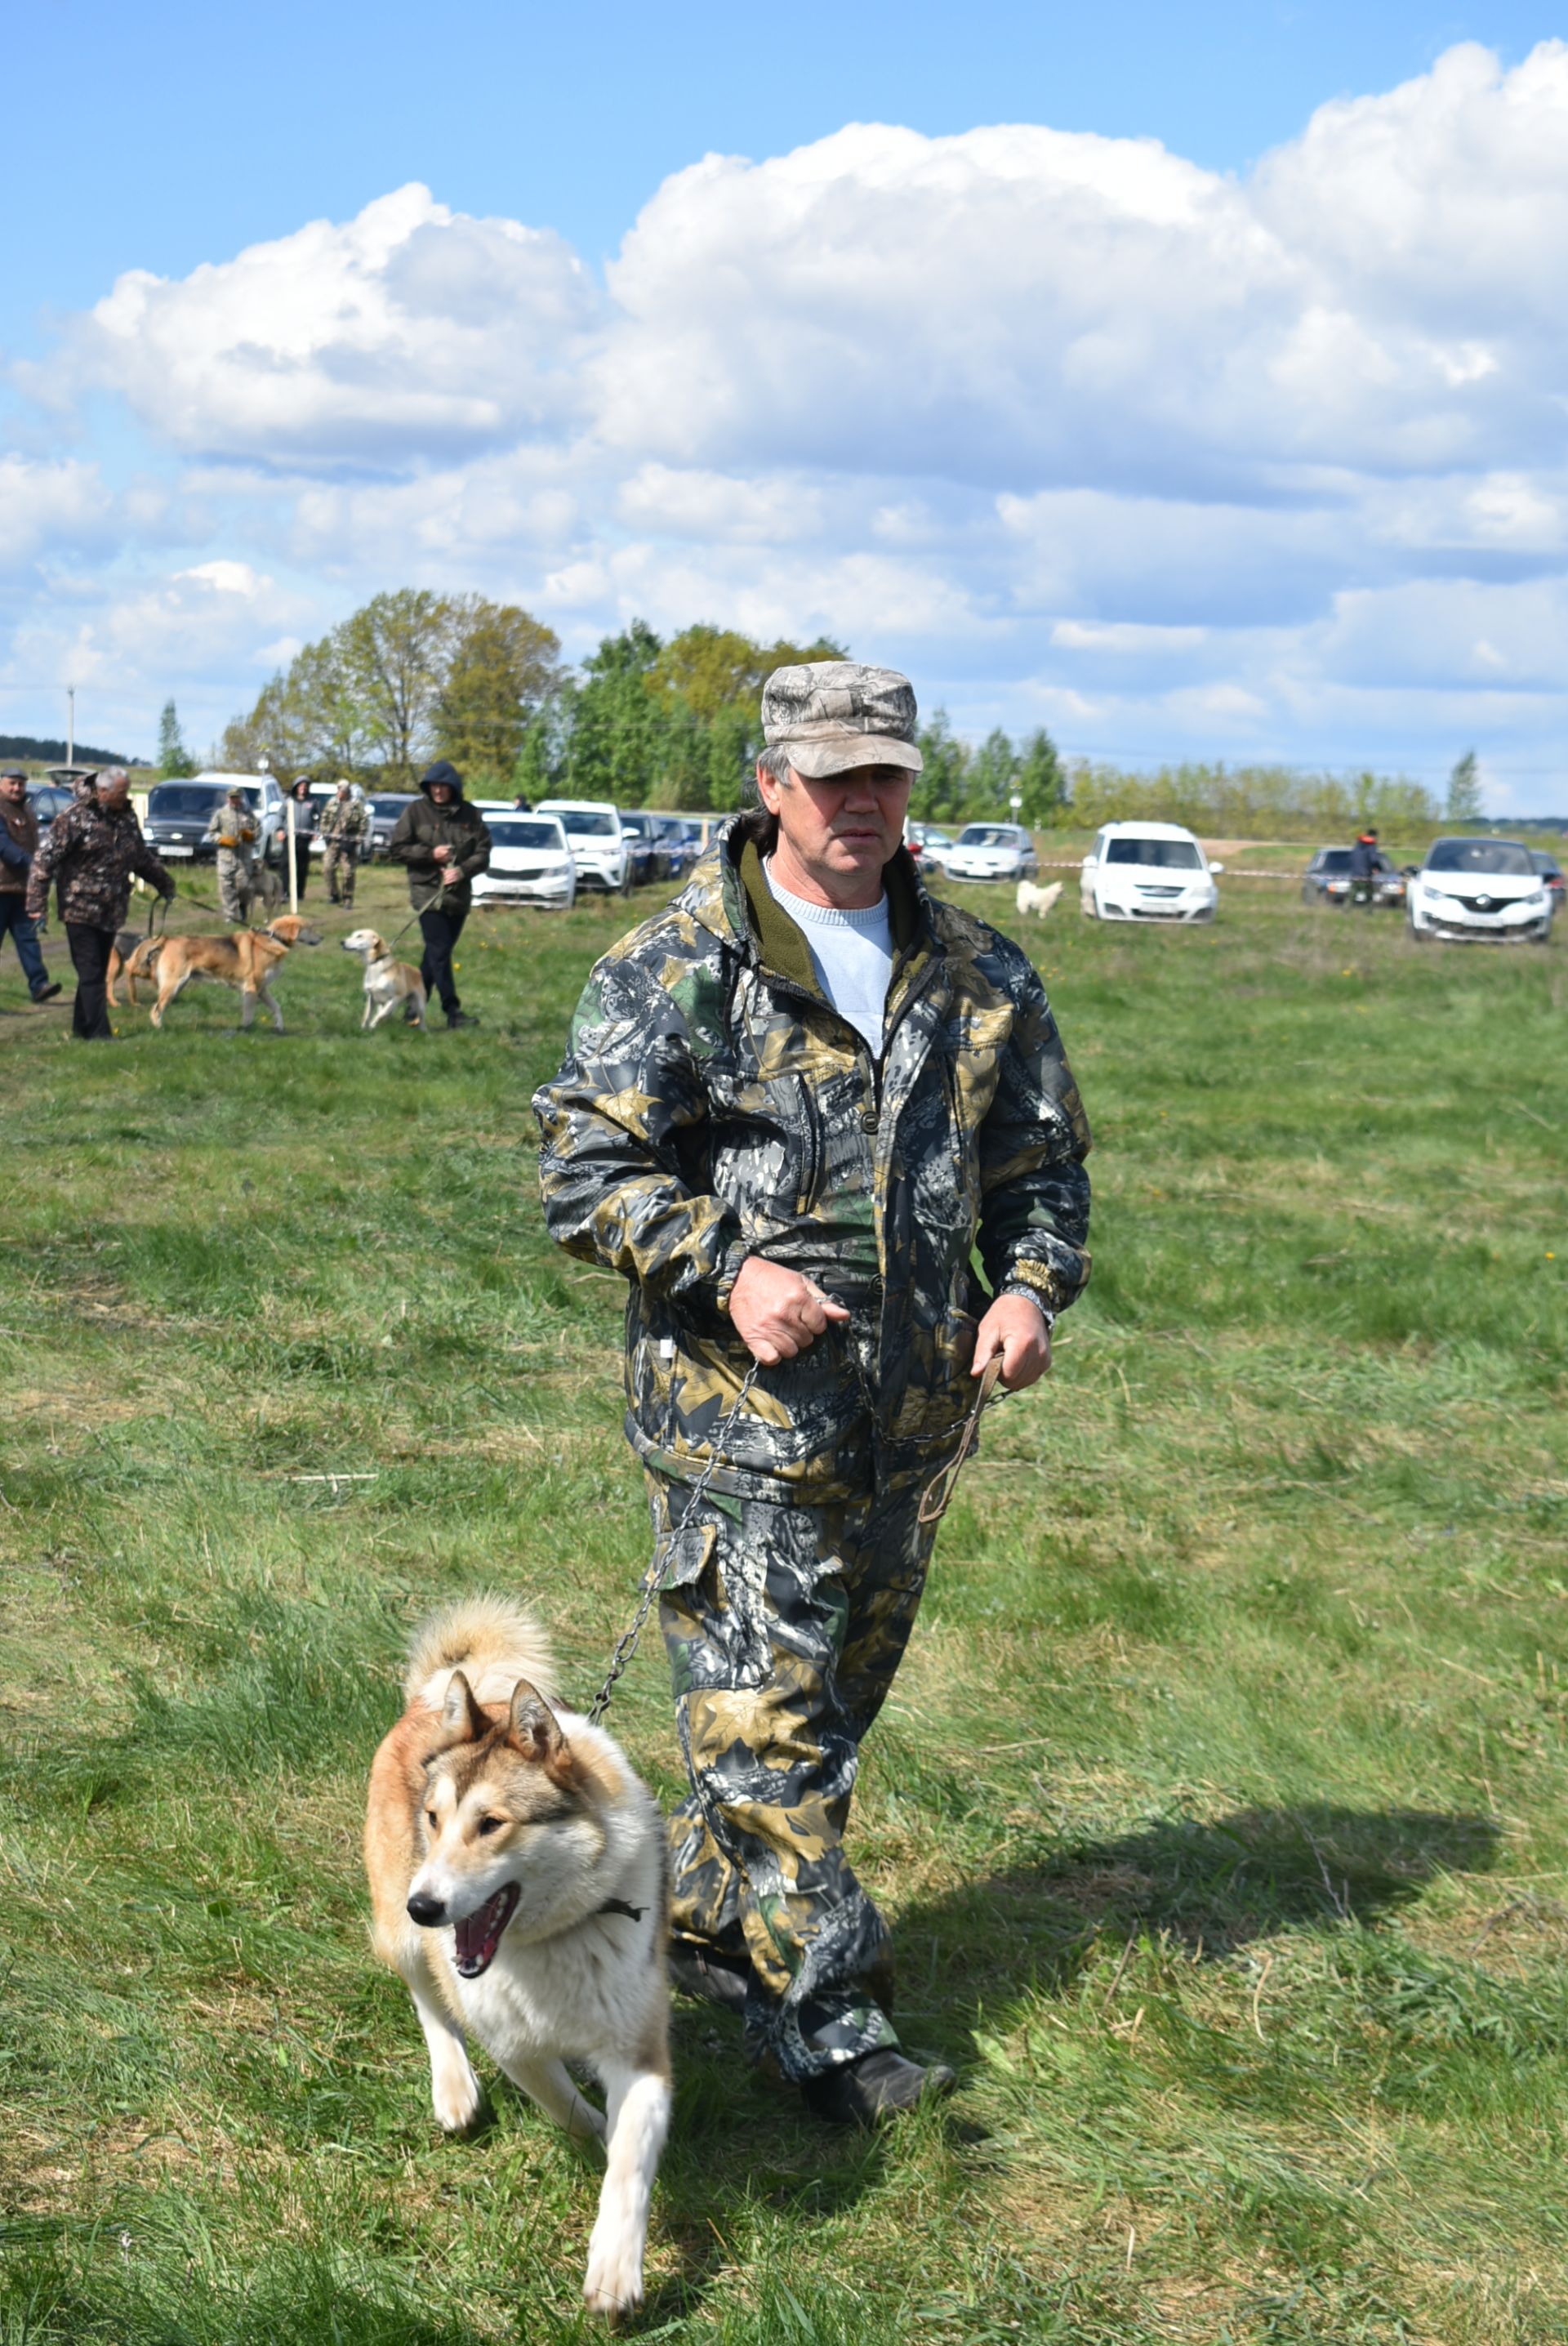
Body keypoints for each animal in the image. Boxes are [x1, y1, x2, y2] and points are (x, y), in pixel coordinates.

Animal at [368, 1604, 675, 2317]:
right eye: (433, 1817)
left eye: (491, 1824)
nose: (425, 1905)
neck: (553, 1938)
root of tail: (447, 1697)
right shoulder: (508, 2040)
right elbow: (561, 2103)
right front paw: (591, 2129)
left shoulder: (641, 2046)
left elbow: (630, 2158)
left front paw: (615, 2270)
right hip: (397, 1925)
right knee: (427, 1998)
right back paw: (453, 2087)